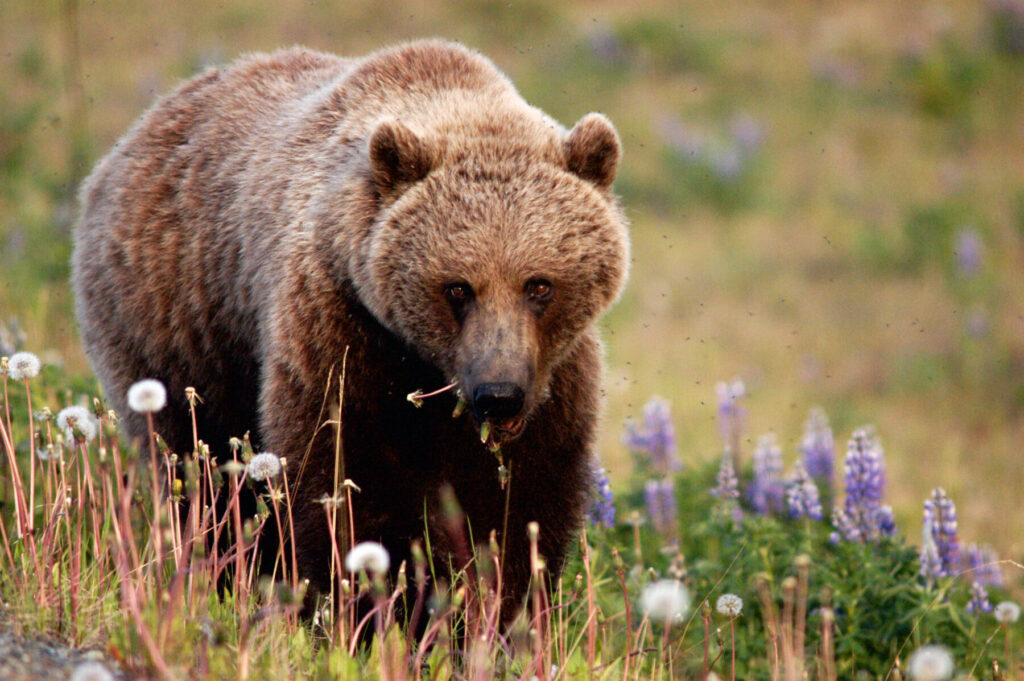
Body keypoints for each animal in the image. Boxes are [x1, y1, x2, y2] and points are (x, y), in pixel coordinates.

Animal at [72, 39, 626, 618]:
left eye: (539, 285)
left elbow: (521, 508)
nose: (499, 394)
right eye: (457, 288)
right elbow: (344, 485)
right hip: (178, 328)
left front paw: (498, 611)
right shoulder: (340, 334)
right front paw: (369, 606)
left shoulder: (555, 383)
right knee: (201, 471)